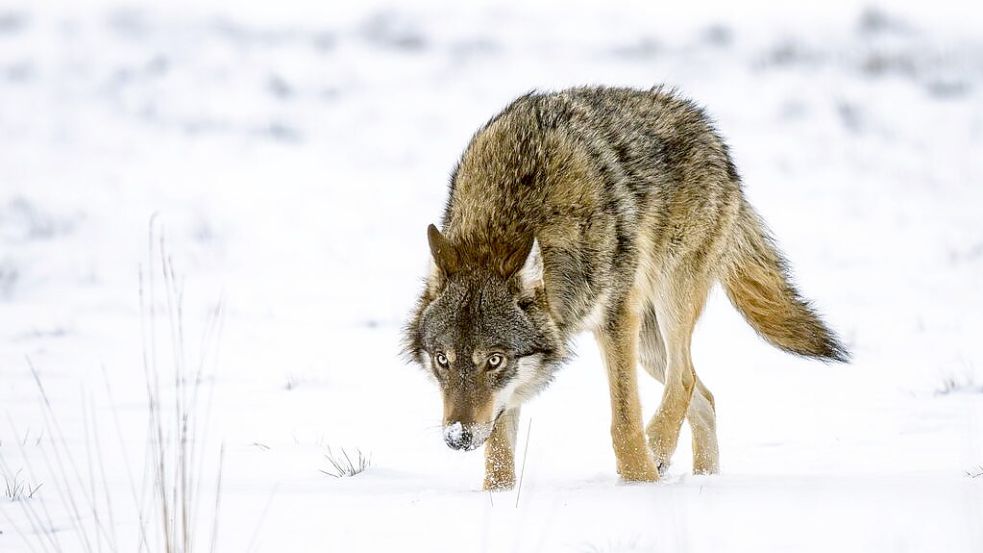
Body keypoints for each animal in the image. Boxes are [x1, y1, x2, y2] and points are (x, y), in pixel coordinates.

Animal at [404, 86, 848, 490]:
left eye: (494, 360)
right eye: (443, 360)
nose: (457, 438)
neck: (513, 212)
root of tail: (709, 131)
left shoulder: (615, 320)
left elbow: (624, 422)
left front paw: (640, 485)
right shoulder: (512, 390)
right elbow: (498, 452)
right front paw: (497, 500)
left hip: (667, 302)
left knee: (683, 379)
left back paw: (661, 453)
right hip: (649, 347)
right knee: (704, 397)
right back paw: (705, 483)